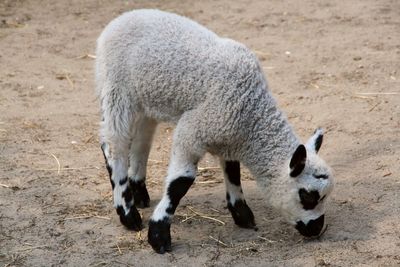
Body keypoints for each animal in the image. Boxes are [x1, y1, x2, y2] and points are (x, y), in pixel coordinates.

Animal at [95, 9, 332, 254]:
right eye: (308, 196)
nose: (317, 228)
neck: (251, 114)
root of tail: (122, 18)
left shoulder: (227, 134)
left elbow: (233, 171)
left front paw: (242, 214)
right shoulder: (194, 129)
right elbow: (180, 183)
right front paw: (159, 236)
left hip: (145, 100)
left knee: (141, 142)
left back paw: (139, 193)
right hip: (117, 89)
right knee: (114, 145)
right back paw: (128, 214)